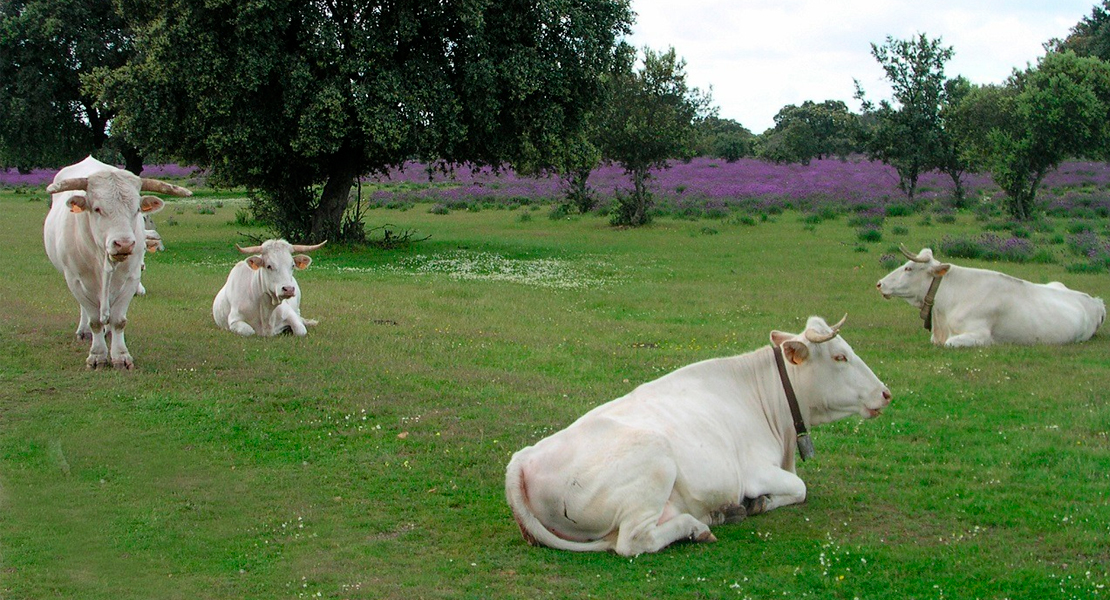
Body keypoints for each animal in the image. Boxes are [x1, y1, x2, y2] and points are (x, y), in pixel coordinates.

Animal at [44, 156, 193, 368]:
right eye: (97, 209)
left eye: (137, 209)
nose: (124, 244)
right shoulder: (75, 279)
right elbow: (94, 320)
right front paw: (97, 355)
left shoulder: (131, 279)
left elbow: (118, 320)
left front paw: (121, 356)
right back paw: (84, 331)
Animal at [508, 314, 888, 554]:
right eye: (840, 357)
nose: (885, 393)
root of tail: (523, 459)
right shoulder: (755, 472)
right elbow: (800, 488)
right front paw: (760, 502)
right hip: (655, 463)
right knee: (632, 542)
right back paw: (697, 527)